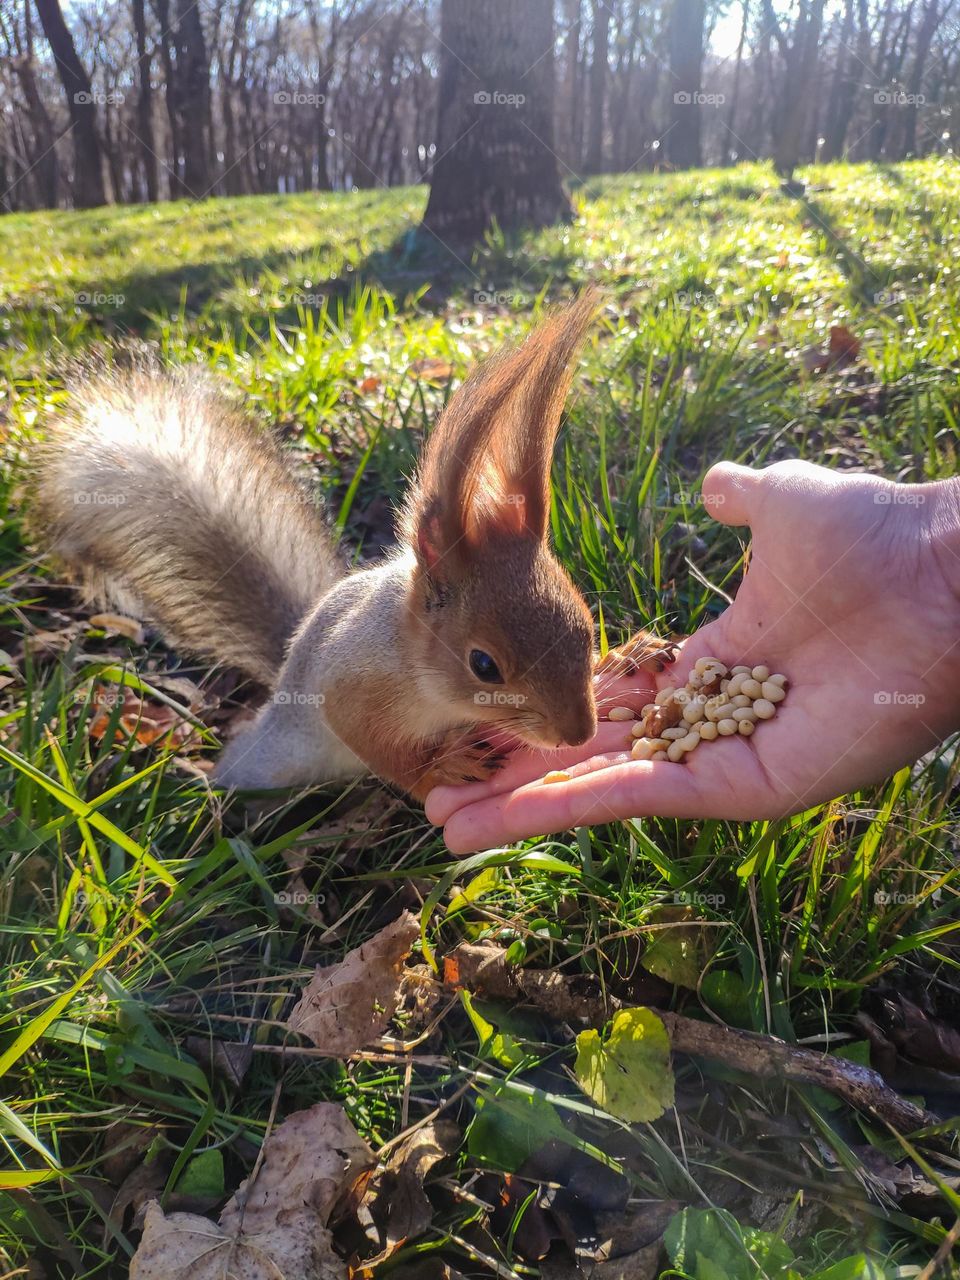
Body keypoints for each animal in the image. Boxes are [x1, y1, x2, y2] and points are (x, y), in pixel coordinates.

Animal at [33, 292, 676, 802]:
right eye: (484, 666)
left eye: (585, 624)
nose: (578, 735)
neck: (412, 655)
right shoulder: (354, 689)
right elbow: (385, 751)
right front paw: (443, 770)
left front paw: (624, 659)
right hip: (275, 756)